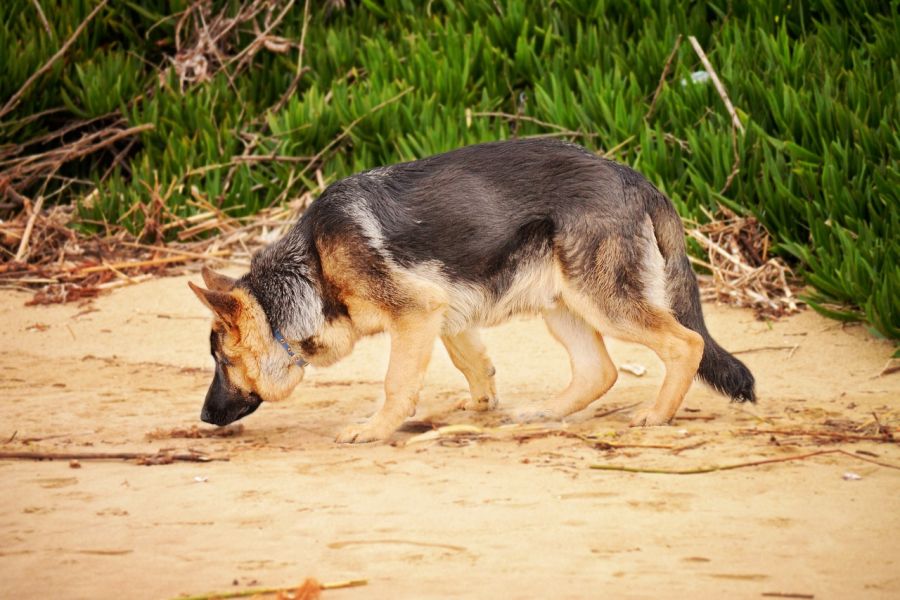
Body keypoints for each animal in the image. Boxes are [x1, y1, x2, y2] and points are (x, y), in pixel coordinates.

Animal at [190, 138, 752, 442]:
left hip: (604, 303)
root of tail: (638, 179)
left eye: (222, 362)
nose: (203, 416)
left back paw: (657, 415)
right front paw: (482, 403)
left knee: (687, 343)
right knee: (600, 370)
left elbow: (396, 383)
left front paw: (375, 429)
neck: (311, 267)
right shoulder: (442, 312)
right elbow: (472, 362)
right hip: (562, 304)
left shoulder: (415, 314)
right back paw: (545, 413)